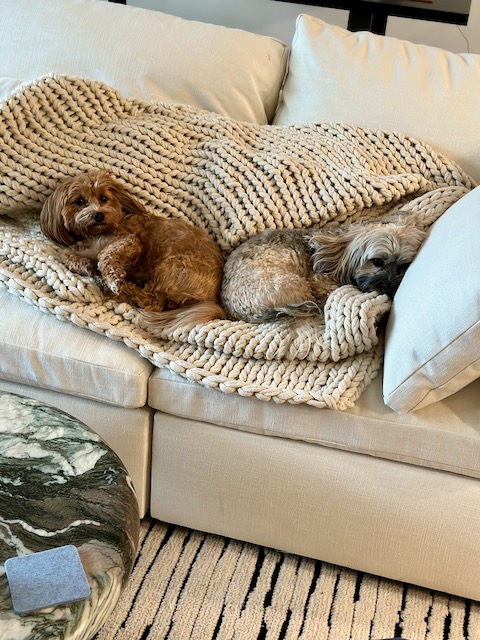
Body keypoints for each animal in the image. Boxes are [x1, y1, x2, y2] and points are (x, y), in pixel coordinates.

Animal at [40, 170, 226, 330]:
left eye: (103, 198)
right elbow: (67, 254)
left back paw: (117, 289)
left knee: (153, 303)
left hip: (170, 265)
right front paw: (86, 266)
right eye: (79, 201)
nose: (98, 215)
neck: (96, 233)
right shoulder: (83, 248)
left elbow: (105, 255)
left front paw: (113, 279)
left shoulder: (131, 242)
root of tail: (212, 299)